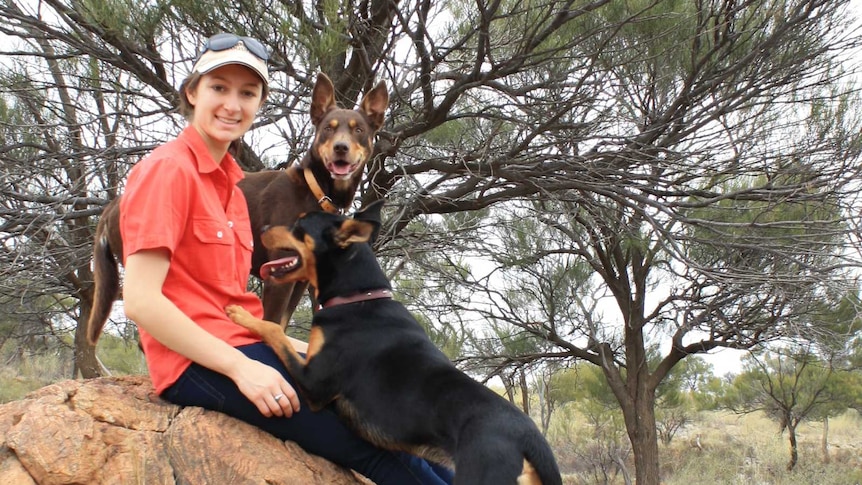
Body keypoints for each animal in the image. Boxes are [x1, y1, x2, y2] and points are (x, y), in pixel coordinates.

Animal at [88, 73, 388, 344]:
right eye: (328, 128)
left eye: (359, 130)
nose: (341, 148)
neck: (317, 192)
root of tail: (113, 204)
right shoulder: (278, 276)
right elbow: (272, 324)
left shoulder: (302, 279)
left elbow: (284, 324)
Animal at [224, 201, 560, 484]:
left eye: (299, 225)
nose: (263, 228)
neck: (358, 298)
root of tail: (531, 440)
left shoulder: (314, 384)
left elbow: (274, 330)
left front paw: (242, 314)